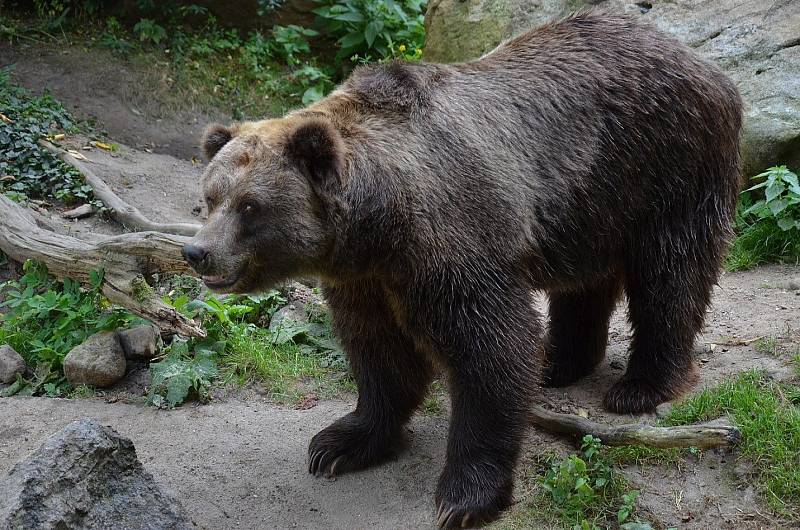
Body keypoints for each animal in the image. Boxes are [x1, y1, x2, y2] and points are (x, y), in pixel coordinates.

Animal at [183, 10, 744, 524]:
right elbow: (378, 350)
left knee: (670, 274)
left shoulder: (452, 240)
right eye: (210, 198)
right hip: (591, 198)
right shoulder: (369, 278)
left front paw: (465, 496)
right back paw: (560, 362)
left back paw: (641, 385)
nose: (197, 252)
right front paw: (340, 443)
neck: (379, 224)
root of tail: (705, 65)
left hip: (666, 164)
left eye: (250, 206)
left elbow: (491, 349)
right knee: (587, 280)